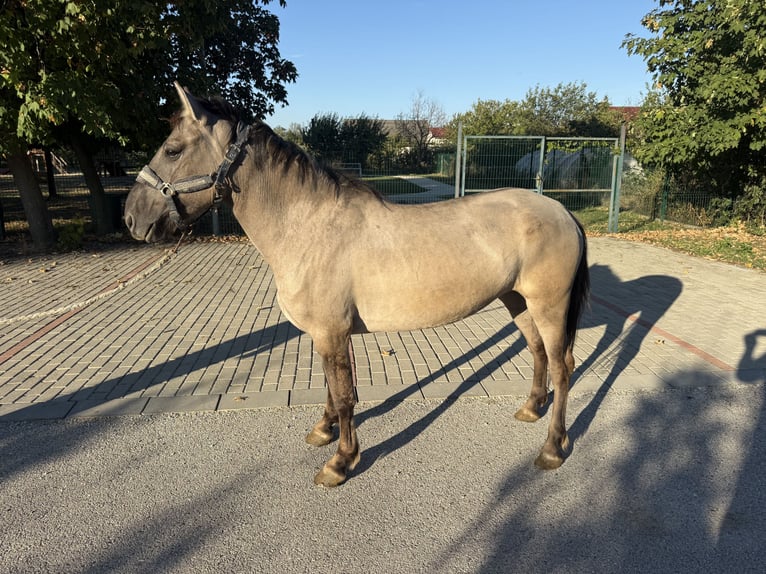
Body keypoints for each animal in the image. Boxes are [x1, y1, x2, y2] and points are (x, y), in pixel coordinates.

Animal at [124, 82, 590, 487]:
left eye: (173, 149)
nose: (132, 217)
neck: (308, 227)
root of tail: (561, 211)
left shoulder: (331, 332)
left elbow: (346, 394)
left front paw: (340, 461)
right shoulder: (328, 333)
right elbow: (334, 389)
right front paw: (324, 430)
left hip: (548, 305)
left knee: (562, 367)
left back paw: (552, 447)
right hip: (517, 301)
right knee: (538, 353)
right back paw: (530, 408)